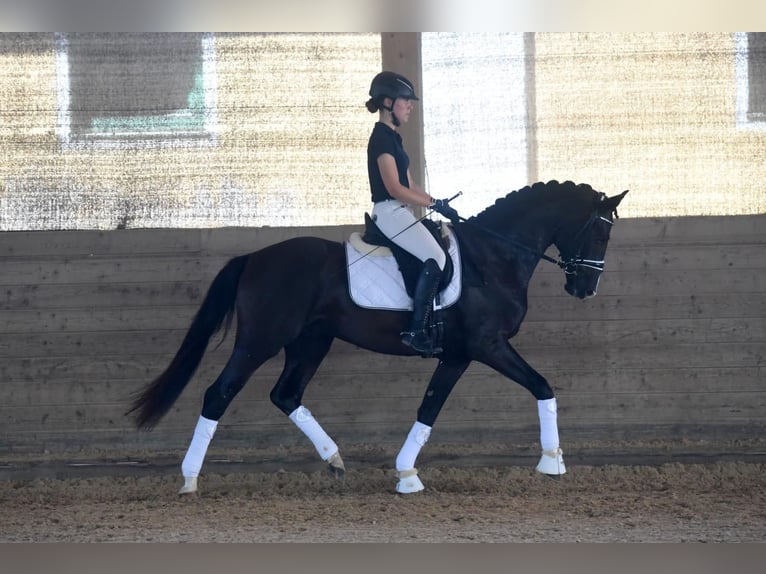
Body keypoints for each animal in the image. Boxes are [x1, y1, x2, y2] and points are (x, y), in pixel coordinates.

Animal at [128, 180, 628, 495]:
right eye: (600, 234)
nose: (586, 288)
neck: (492, 256)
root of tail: (253, 258)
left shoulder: (458, 356)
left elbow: (428, 410)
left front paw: (406, 475)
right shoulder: (488, 347)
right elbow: (542, 385)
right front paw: (552, 462)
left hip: (311, 342)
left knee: (286, 394)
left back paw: (334, 460)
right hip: (260, 341)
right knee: (220, 393)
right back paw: (189, 479)